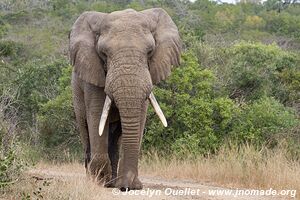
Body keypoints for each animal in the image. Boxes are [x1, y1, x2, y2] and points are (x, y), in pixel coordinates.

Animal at [69, 8, 180, 191]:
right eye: (104, 53)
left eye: (150, 52)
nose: (126, 187)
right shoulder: (93, 73)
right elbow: (97, 115)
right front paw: (99, 181)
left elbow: (140, 117)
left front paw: (131, 186)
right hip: (77, 95)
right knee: (86, 131)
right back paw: (97, 180)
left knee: (115, 138)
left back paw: (113, 182)